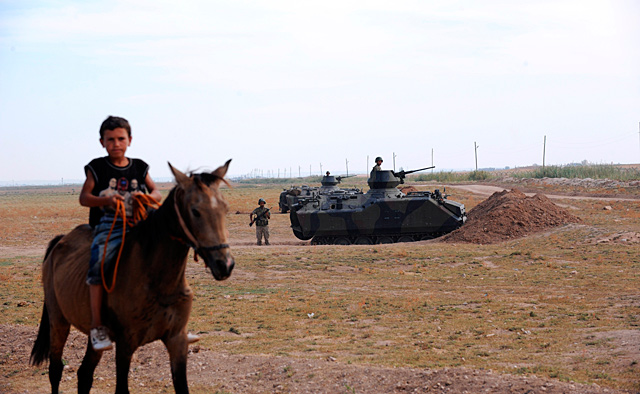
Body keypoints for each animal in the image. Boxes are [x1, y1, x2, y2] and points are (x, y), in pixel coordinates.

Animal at [30, 161, 234, 394]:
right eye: (195, 211)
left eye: (225, 208)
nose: (225, 264)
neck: (158, 280)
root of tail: (61, 240)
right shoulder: (126, 345)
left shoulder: (177, 340)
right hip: (58, 321)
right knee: (56, 370)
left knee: (84, 374)